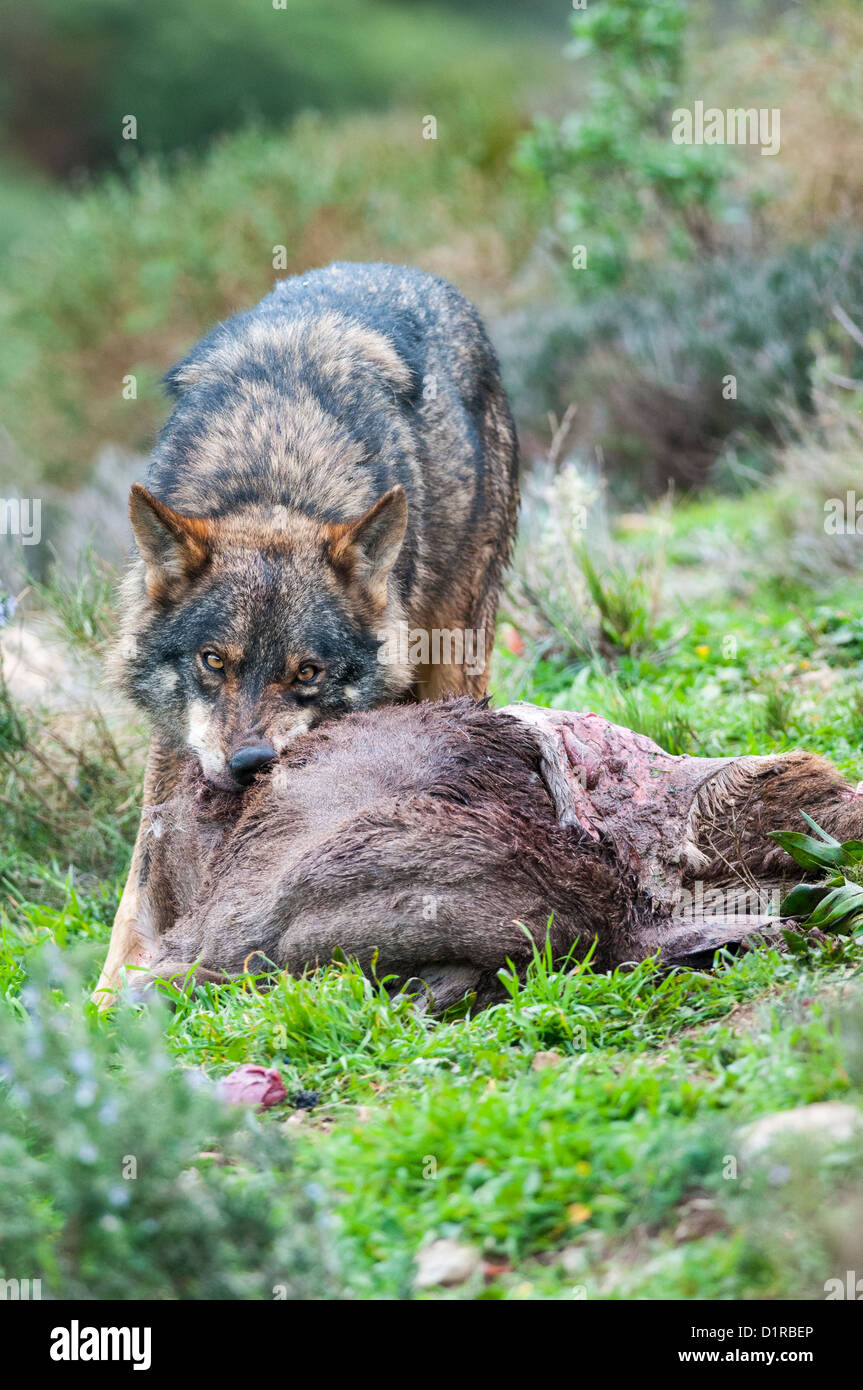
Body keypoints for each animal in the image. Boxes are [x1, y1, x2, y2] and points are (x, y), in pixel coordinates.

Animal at [95, 263, 519, 1003]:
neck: (275, 471)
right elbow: (136, 895)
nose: (250, 765)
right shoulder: (173, 748)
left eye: (307, 673)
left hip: (454, 654)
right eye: (213, 661)